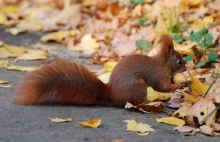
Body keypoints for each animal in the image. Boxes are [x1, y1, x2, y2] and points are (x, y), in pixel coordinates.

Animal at [14, 34, 186, 106]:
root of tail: (115, 94)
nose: (186, 68)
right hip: (138, 87)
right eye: (179, 61)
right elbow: (162, 86)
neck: (164, 62)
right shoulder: (160, 74)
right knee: (136, 102)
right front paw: (180, 85)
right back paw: (148, 103)